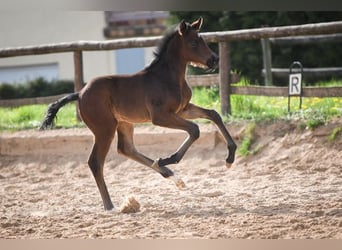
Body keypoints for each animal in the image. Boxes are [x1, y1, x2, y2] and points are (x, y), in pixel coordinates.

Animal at [40, 16, 235, 210]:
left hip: (124, 123)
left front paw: (230, 157)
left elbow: (213, 114)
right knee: (95, 162)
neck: (167, 78)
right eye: (193, 43)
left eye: (203, 40)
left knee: (126, 149)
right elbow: (195, 129)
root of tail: (80, 93)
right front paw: (168, 158)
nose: (214, 60)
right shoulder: (160, 116)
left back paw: (172, 176)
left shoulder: (182, 110)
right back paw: (110, 206)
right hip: (105, 128)